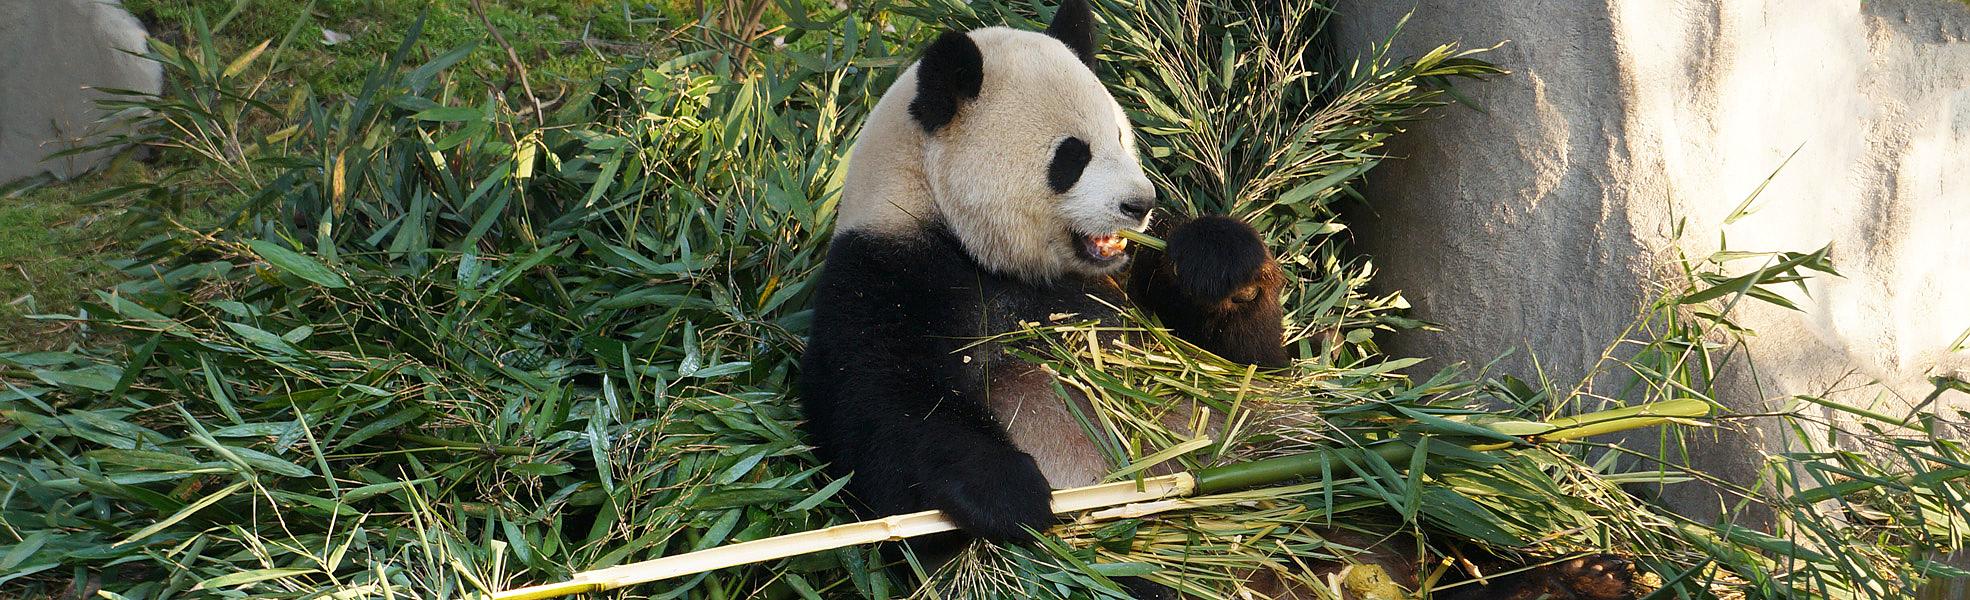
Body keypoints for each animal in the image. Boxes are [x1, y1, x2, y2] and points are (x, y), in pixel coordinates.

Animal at [799, 2, 1646, 594]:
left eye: (1124, 138)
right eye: (1071, 157)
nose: (1140, 205)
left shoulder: (1128, 289)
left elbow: (1249, 370)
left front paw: (1217, 261)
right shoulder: (886, 278)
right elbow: (884, 424)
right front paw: (1013, 494)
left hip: (1316, 479)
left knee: (1412, 494)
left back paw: (1572, 575)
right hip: (1153, 564)